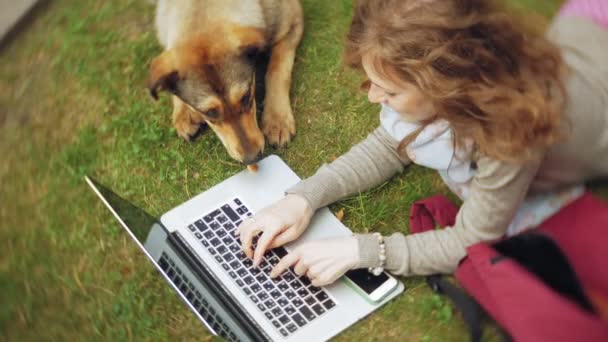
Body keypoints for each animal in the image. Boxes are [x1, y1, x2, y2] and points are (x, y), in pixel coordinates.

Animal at [148, 0, 302, 165]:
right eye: (208, 112)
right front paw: (183, 112)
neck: (202, 6)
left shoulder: (293, 22)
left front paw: (277, 120)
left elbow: (277, 69)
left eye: (246, 97)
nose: (252, 159)